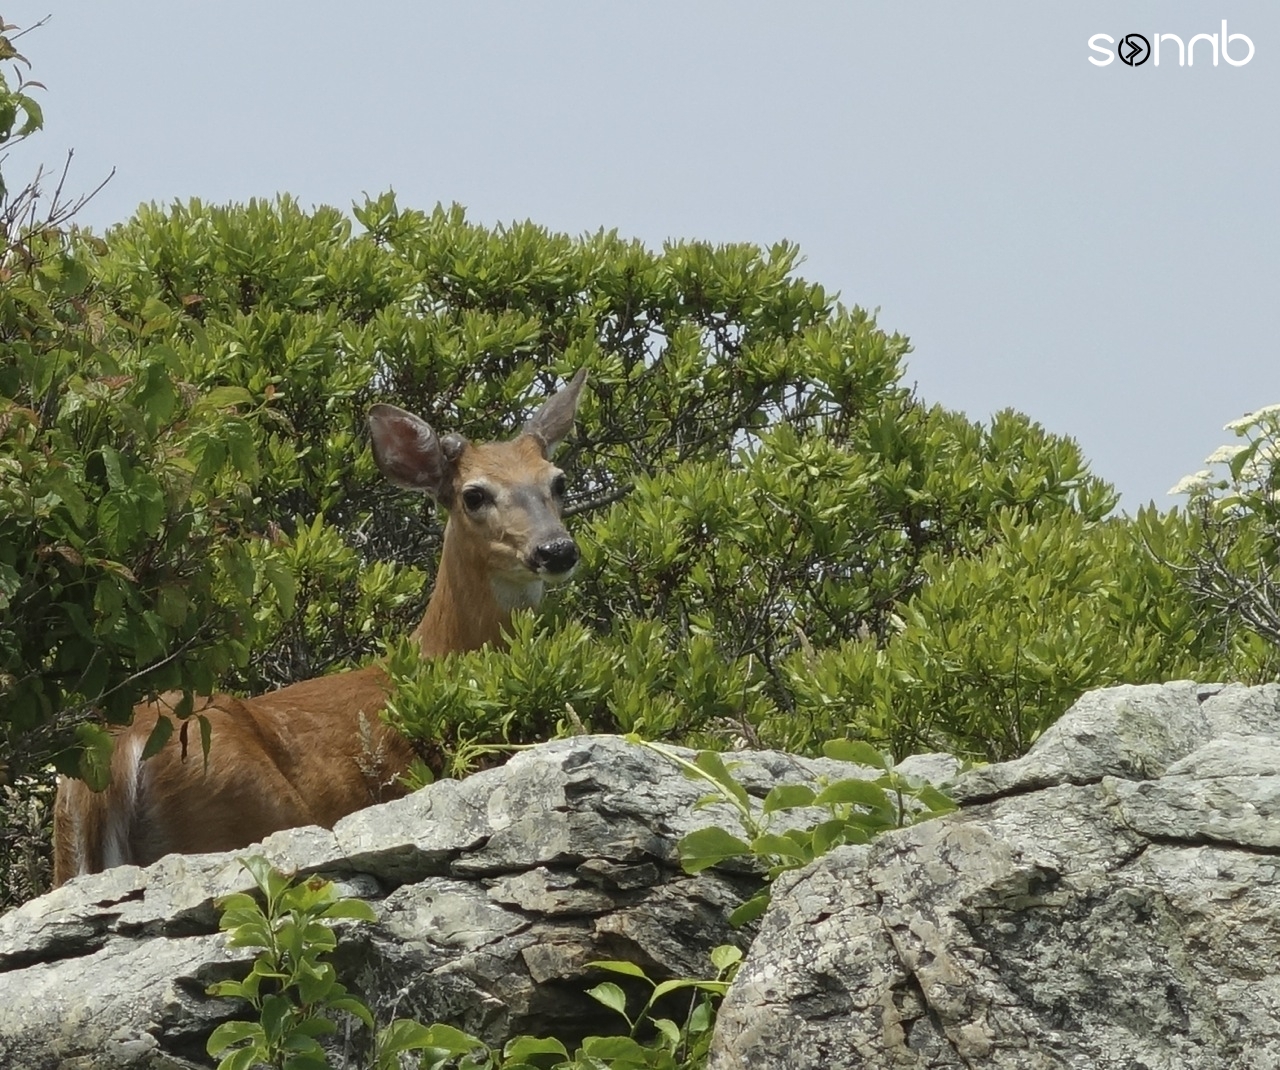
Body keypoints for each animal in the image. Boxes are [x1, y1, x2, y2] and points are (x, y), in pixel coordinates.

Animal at [49, 371, 586, 885]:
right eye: (473, 495)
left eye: (557, 482)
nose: (556, 550)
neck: (434, 656)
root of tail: (118, 758)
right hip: (227, 815)